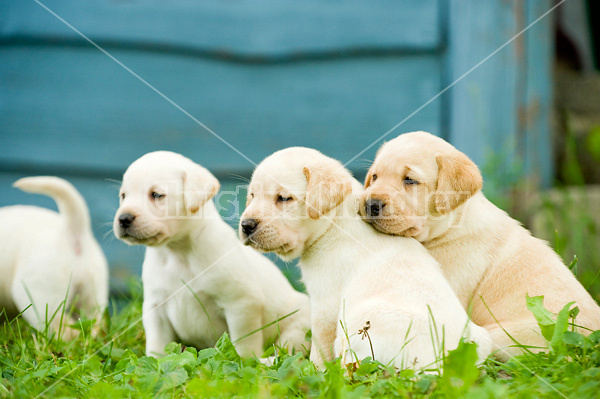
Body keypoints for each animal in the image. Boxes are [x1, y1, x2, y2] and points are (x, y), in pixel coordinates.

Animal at [113, 152, 310, 360]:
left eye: (157, 195)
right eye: (124, 196)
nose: (123, 218)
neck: (178, 252)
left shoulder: (241, 305)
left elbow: (243, 345)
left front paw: (243, 360)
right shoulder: (155, 309)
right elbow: (157, 345)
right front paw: (154, 360)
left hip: (298, 328)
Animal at [239, 148, 492, 372]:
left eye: (283, 198)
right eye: (252, 195)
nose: (246, 225)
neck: (335, 224)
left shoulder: (325, 307)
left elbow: (319, 353)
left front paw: (312, 370)